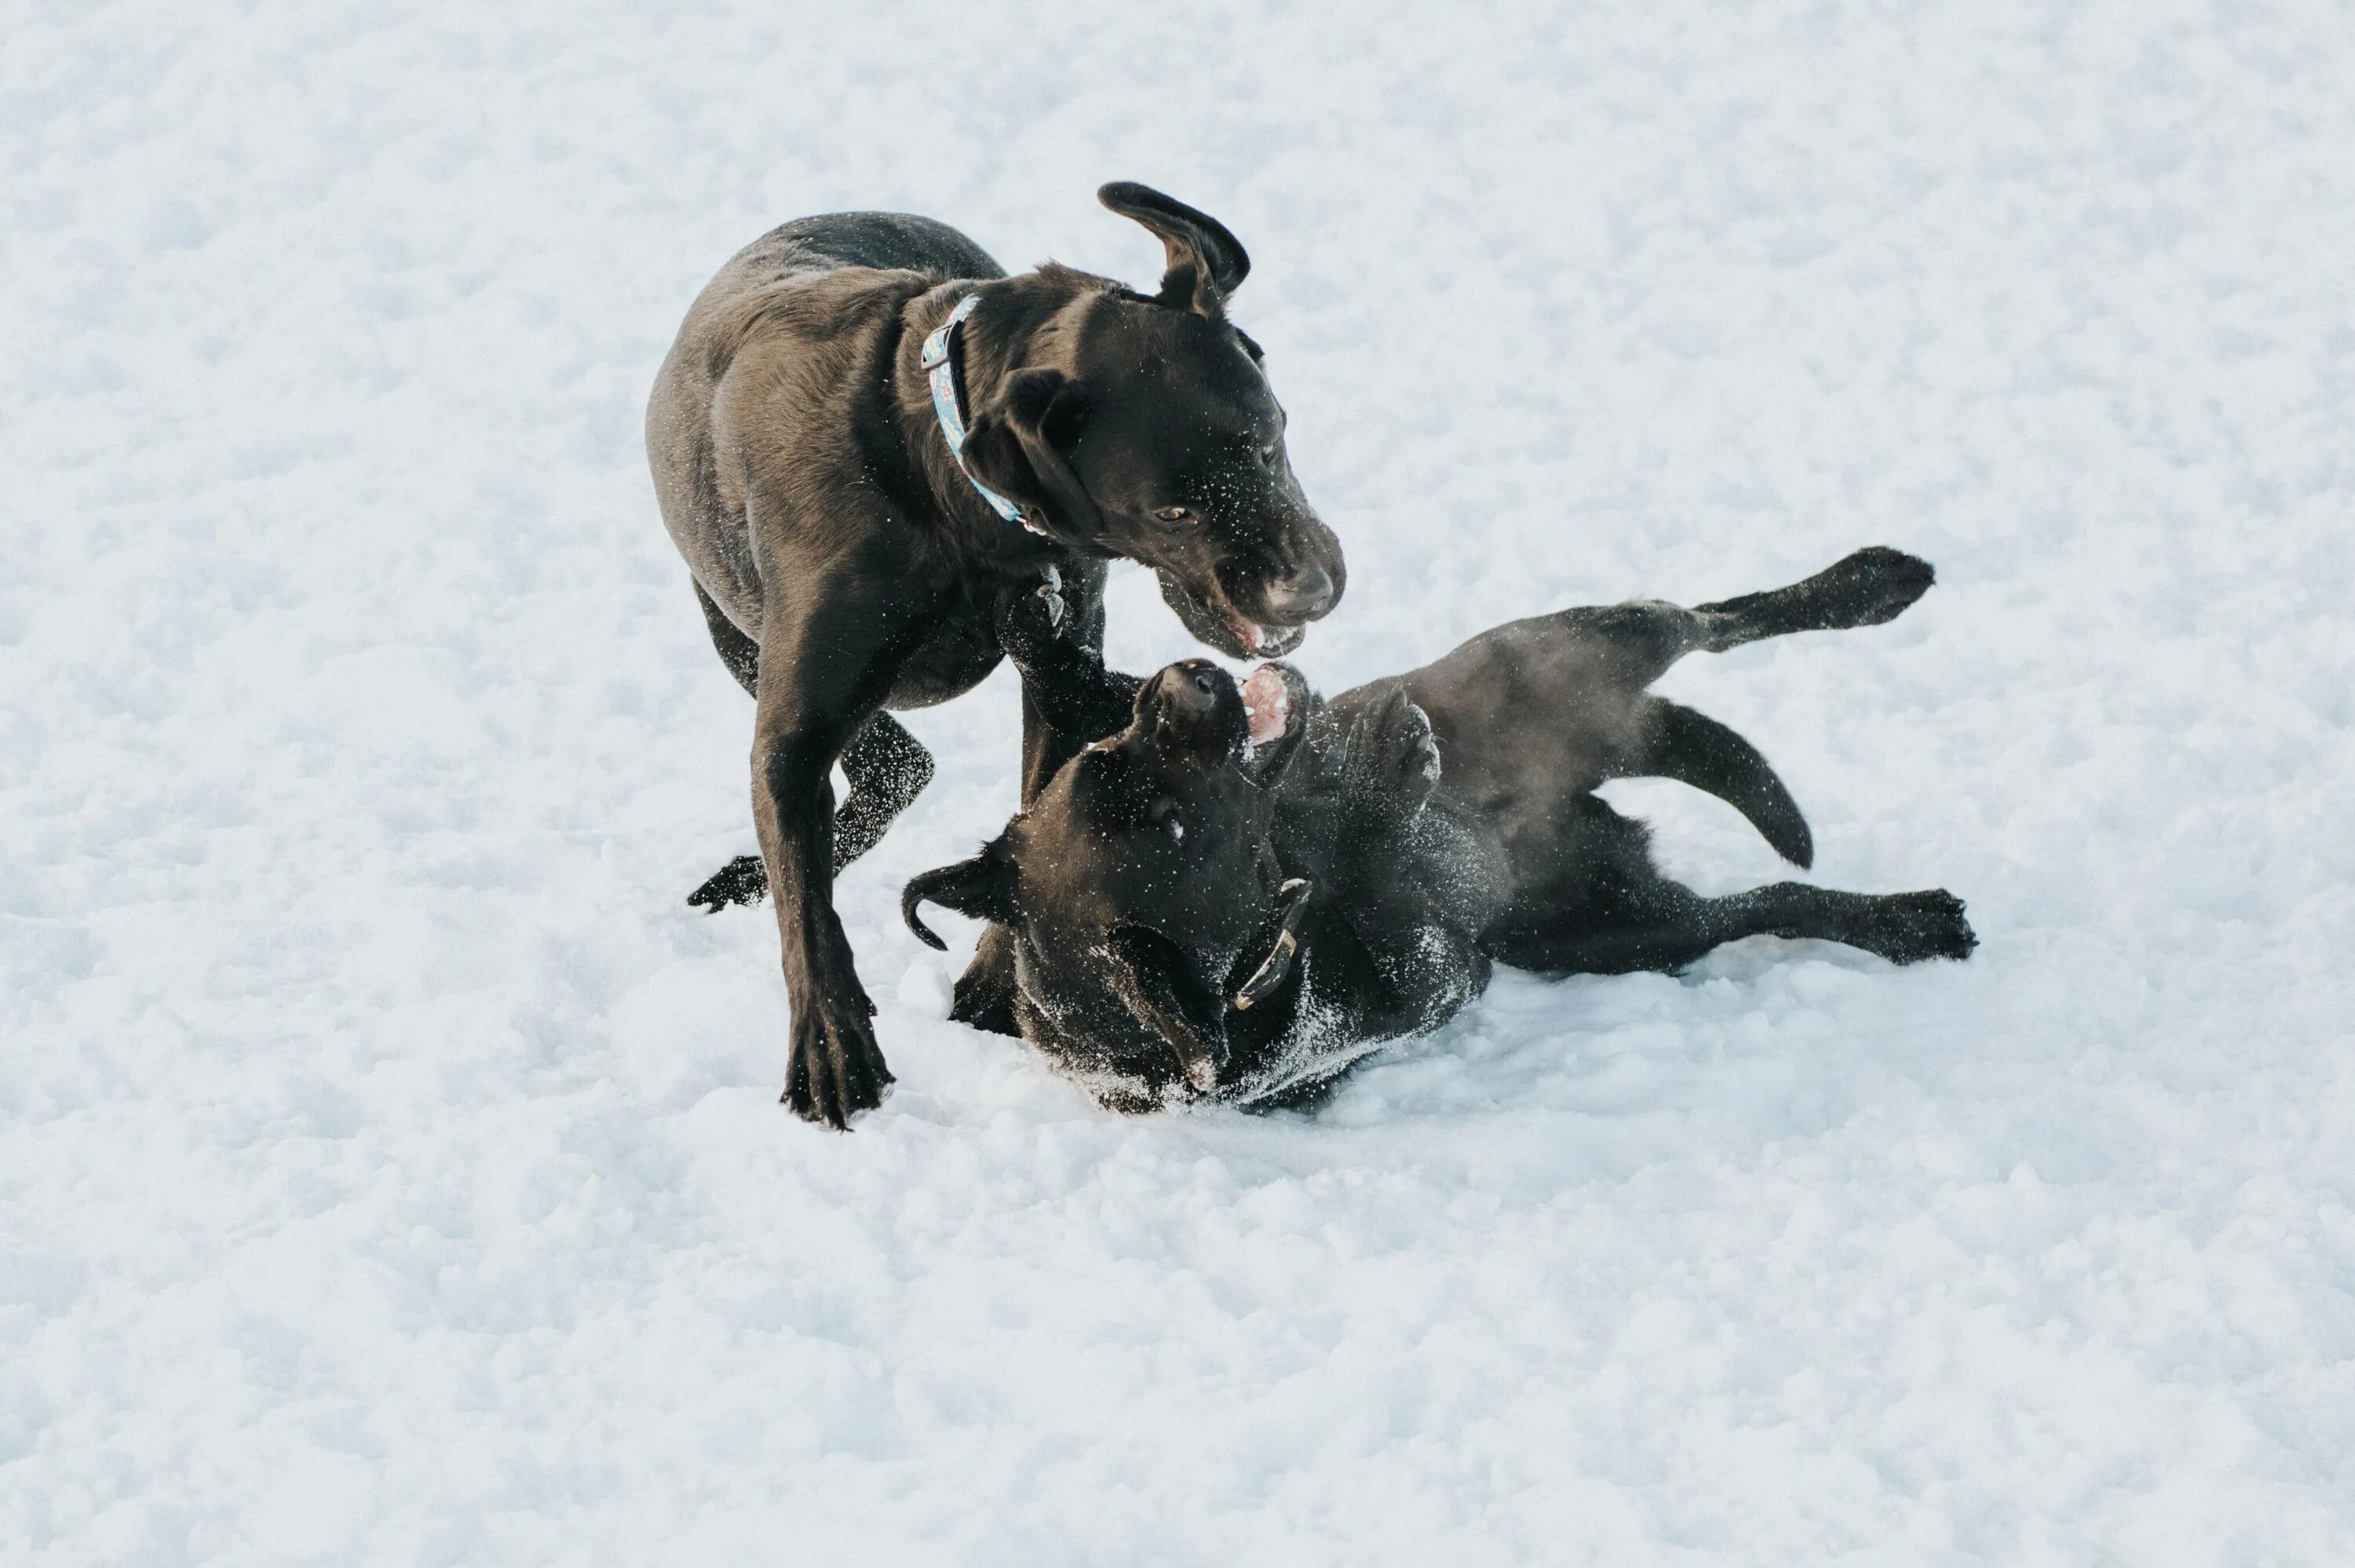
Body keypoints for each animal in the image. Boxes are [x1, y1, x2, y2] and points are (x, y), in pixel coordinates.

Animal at [645, 184, 1347, 1116]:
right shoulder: (794, 725)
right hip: (735, 632)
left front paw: (991, 981)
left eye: (1272, 439)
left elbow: (1031, 816)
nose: (1312, 591)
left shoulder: (1058, 666)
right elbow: (807, 901)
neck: (940, 488)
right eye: (1173, 512)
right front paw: (831, 1042)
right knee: (887, 770)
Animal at [909, 544, 1978, 1107]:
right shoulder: (1441, 972)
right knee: (1777, 898)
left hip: (1574, 641)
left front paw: (1041, 627)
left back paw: (1876, 580)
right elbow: (1385, 874)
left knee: (1717, 616)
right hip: (1634, 930)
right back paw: (1911, 919)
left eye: (1111, 757)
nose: (1187, 678)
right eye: (1171, 827)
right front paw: (1386, 782)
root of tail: (1597, 765)